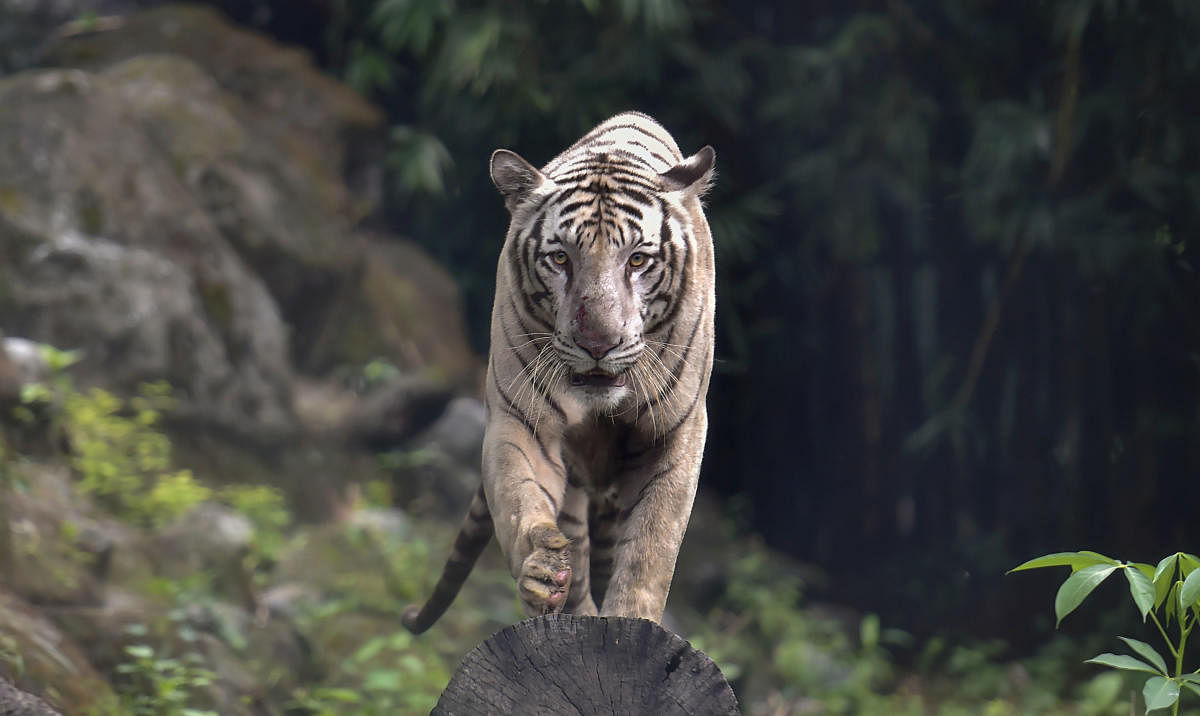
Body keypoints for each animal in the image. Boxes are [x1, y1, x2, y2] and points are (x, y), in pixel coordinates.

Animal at [408, 111, 715, 633]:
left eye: (637, 259)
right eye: (560, 258)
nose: (598, 344)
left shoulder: (677, 433)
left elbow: (651, 548)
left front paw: (631, 617)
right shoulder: (522, 420)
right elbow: (520, 500)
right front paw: (541, 572)